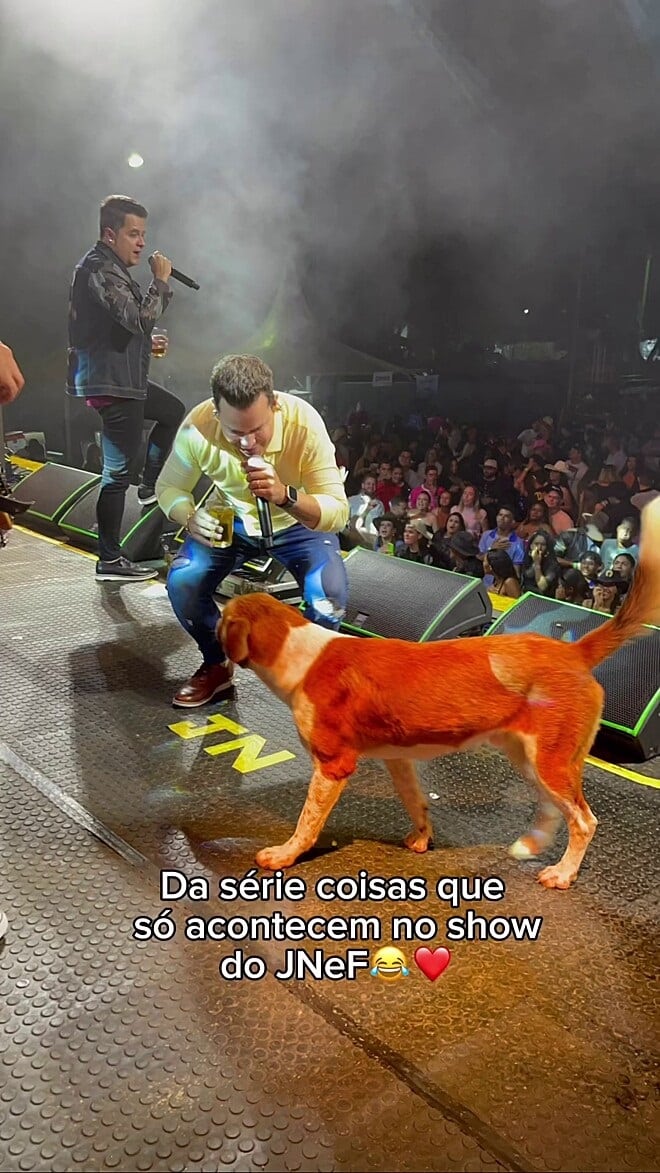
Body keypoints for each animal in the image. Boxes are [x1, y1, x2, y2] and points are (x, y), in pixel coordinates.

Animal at [219, 495, 656, 886]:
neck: (302, 649)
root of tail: (572, 650)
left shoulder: (333, 764)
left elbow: (307, 820)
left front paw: (286, 853)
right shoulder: (397, 758)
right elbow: (417, 803)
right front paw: (421, 839)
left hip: (550, 761)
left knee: (583, 820)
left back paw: (564, 873)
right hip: (531, 757)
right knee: (554, 809)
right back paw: (531, 846)